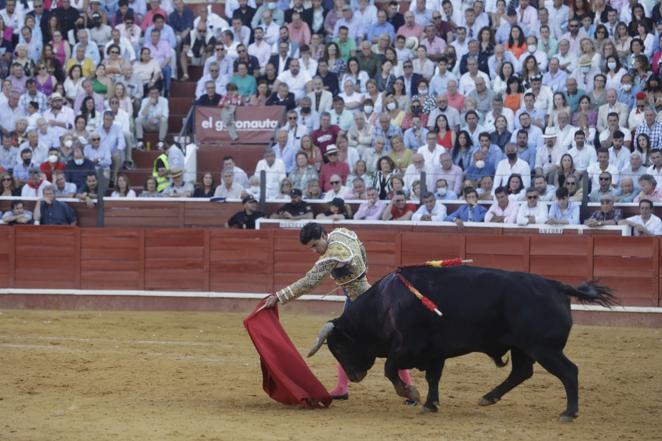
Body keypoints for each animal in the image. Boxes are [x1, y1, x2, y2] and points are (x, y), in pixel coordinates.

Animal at [308, 262, 620, 422]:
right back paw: (488, 397)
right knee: (522, 371)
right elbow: (433, 377)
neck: (385, 304)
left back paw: (568, 412)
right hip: (523, 347)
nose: (354, 376)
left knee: (568, 372)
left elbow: (390, 370)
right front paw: (430, 403)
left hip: (544, 348)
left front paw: (411, 394)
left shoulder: (407, 346)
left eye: (338, 347)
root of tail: (556, 285)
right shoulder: (435, 352)